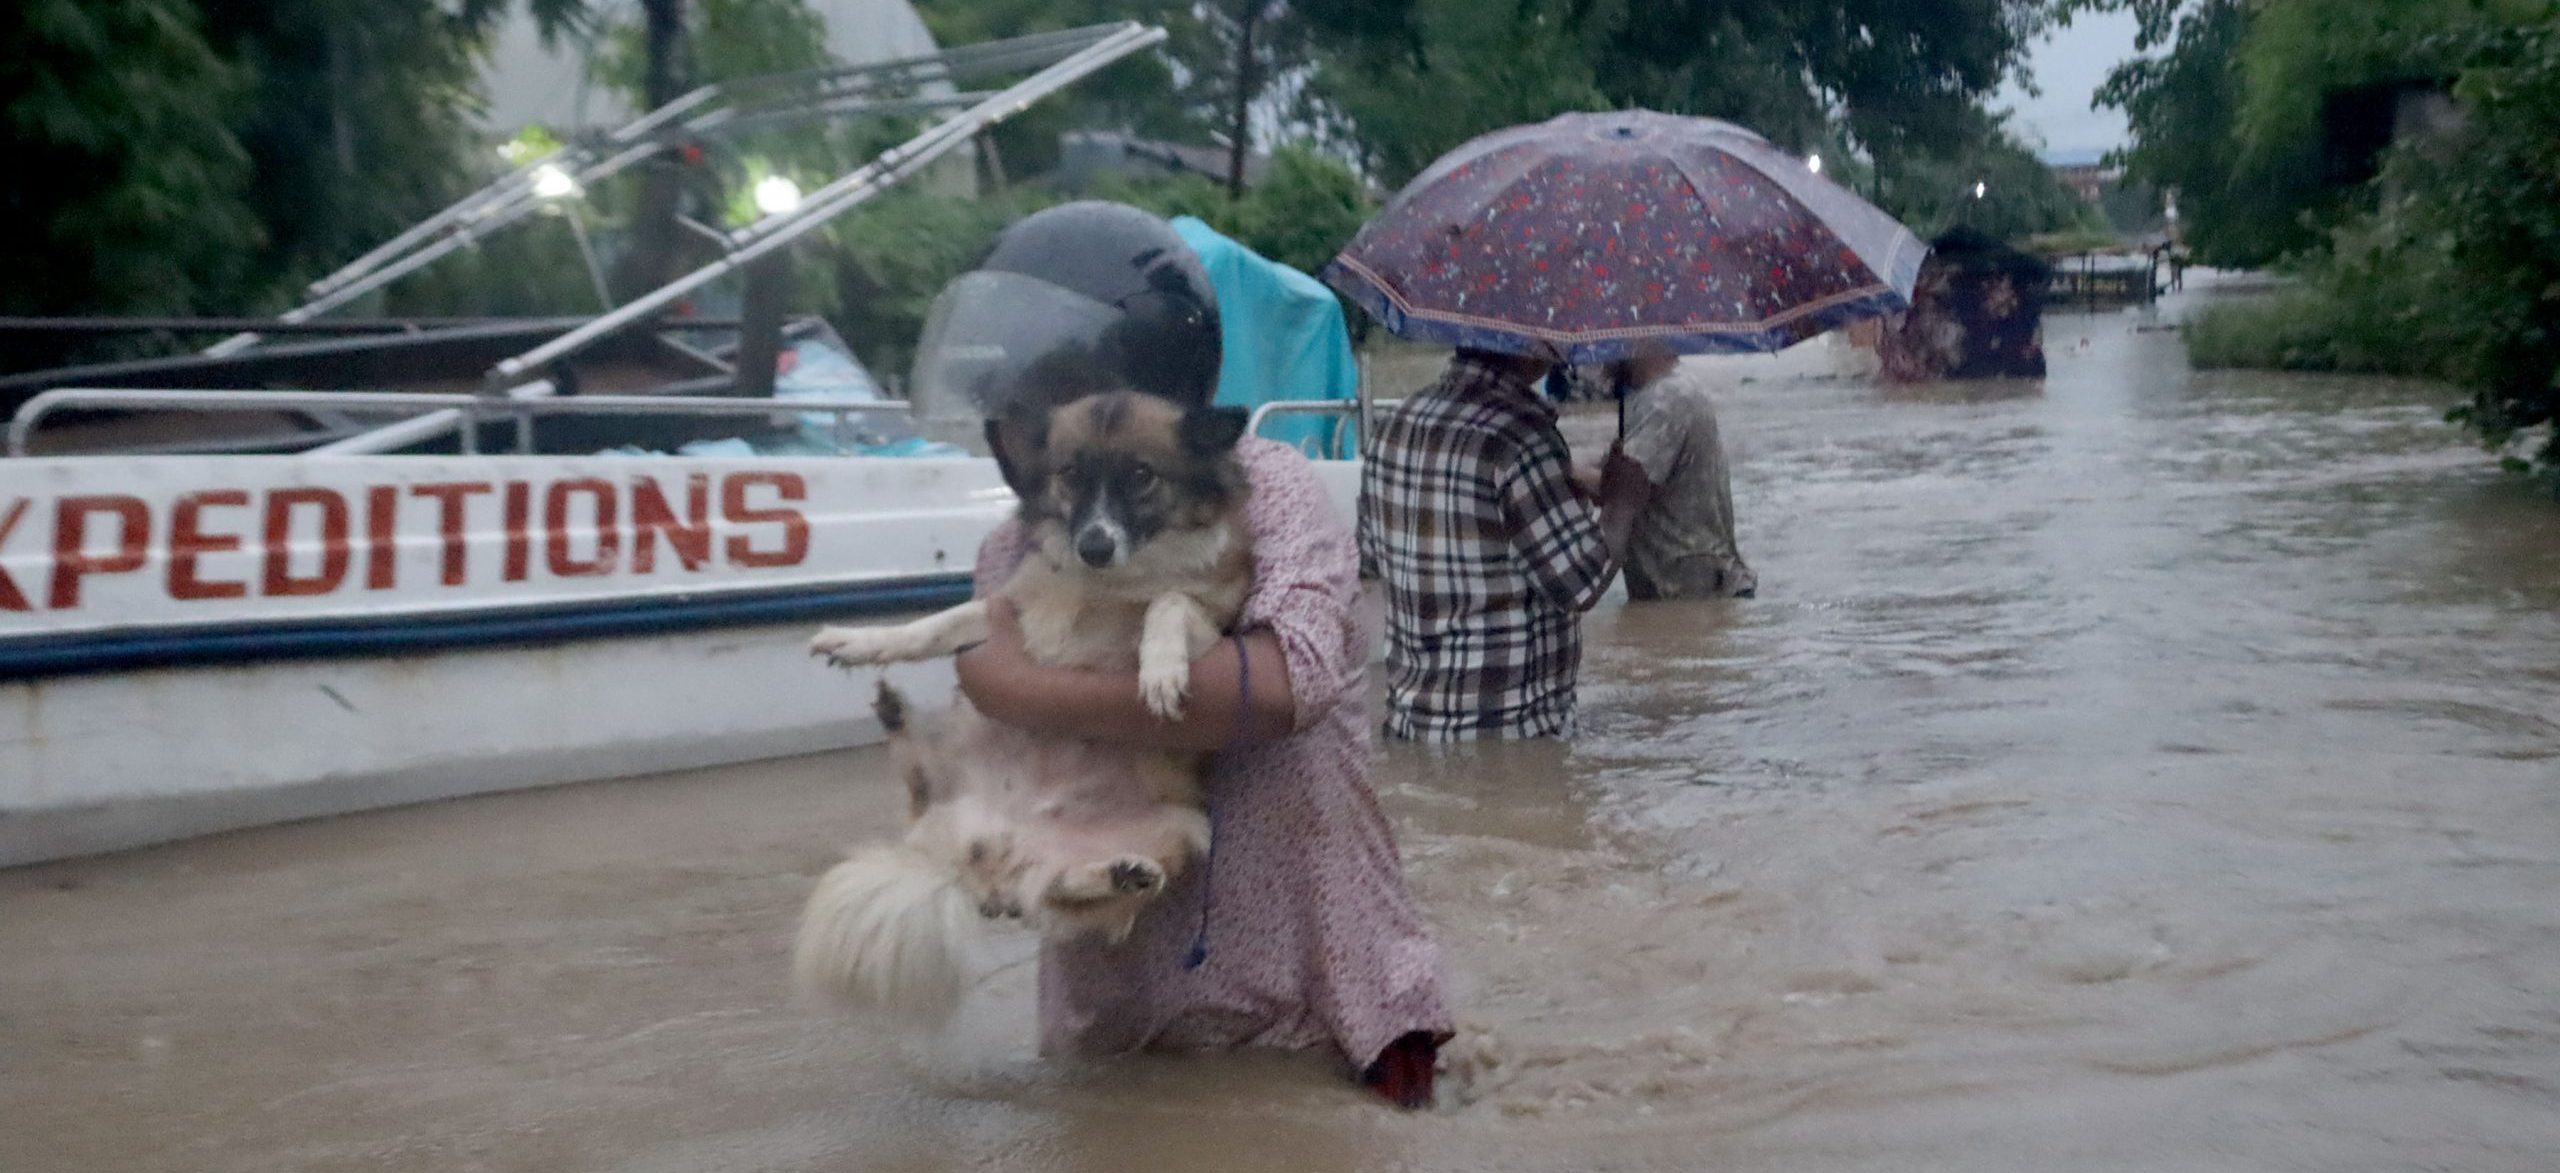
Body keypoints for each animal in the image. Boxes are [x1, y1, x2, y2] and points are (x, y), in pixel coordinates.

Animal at [783, 389, 1254, 1019]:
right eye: (1070, 474)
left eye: (1141, 476)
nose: (1094, 545)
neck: (1106, 585)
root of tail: (988, 861)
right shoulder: (1005, 613)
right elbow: (932, 626)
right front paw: (861, 642)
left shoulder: (1216, 628)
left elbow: (1170, 601)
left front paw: (1160, 670)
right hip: (959, 747)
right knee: (923, 783)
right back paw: (895, 712)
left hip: (1187, 824)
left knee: (1057, 892)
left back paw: (1122, 874)